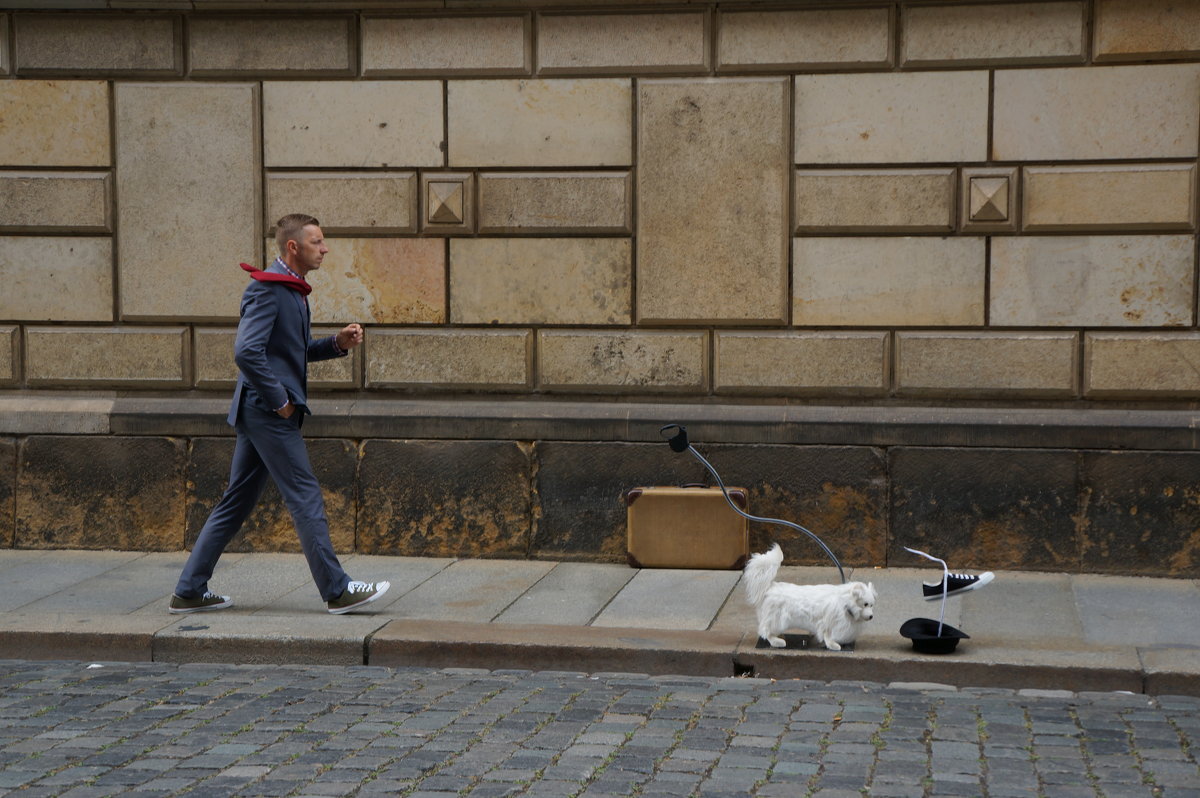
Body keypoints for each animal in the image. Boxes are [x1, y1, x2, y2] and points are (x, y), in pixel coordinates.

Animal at [744, 542, 878, 648]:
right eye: (865, 604)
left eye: (872, 605)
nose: (871, 616)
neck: (845, 603)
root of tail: (770, 586)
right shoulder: (827, 623)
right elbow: (828, 636)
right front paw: (833, 645)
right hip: (777, 620)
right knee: (766, 632)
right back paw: (777, 642)